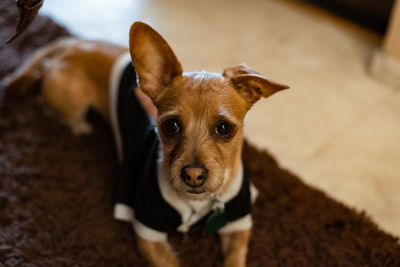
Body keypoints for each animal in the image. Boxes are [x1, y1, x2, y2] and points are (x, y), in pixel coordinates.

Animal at [3, 21, 288, 267]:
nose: (193, 175)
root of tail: (73, 43)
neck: (197, 204)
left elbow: (235, 259)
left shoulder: (238, 224)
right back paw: (79, 127)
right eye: (171, 125)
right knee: (47, 105)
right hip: (70, 101)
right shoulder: (148, 232)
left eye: (224, 128)